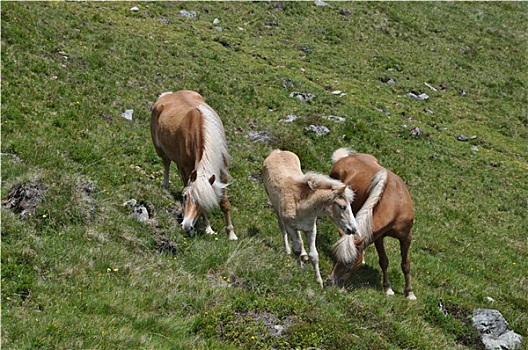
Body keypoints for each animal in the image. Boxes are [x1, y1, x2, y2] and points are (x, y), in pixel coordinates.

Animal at [151, 90, 237, 241]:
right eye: (185, 197)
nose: (186, 226)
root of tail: (168, 95)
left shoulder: (222, 172)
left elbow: (224, 203)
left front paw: (231, 234)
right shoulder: (188, 170)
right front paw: (208, 228)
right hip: (161, 150)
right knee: (166, 162)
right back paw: (166, 185)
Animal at [262, 149, 360, 288]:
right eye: (342, 206)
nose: (352, 229)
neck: (301, 206)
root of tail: (277, 152)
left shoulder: (311, 229)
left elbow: (314, 255)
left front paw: (319, 282)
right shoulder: (290, 226)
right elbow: (296, 248)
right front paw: (300, 268)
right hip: (276, 208)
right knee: (282, 228)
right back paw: (288, 250)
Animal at [326, 148, 416, 300]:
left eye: (349, 263)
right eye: (335, 257)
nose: (330, 282)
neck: (397, 204)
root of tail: (344, 158)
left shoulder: (406, 237)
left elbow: (406, 264)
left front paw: (409, 292)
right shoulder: (378, 237)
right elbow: (384, 261)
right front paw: (387, 288)